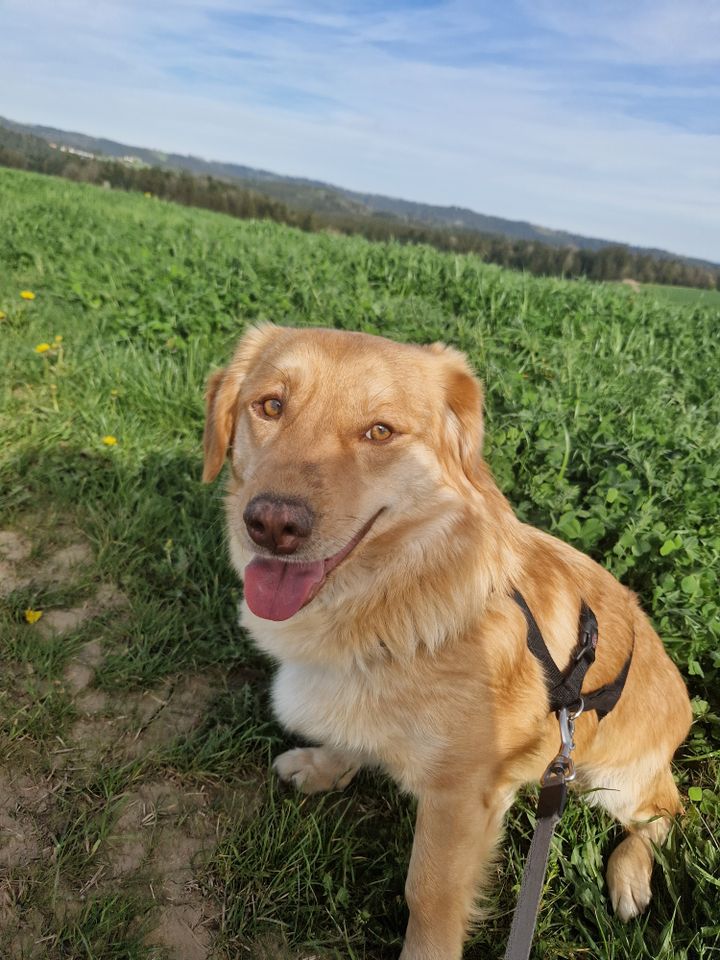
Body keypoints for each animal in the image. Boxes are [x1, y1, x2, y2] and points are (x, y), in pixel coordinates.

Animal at [202, 324, 692, 960]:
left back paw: (629, 877)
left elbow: (428, 898)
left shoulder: (460, 799)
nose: (272, 525)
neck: (388, 606)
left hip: (613, 782)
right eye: (270, 406)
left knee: (665, 811)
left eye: (380, 431)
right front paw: (324, 764)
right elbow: (348, 737)